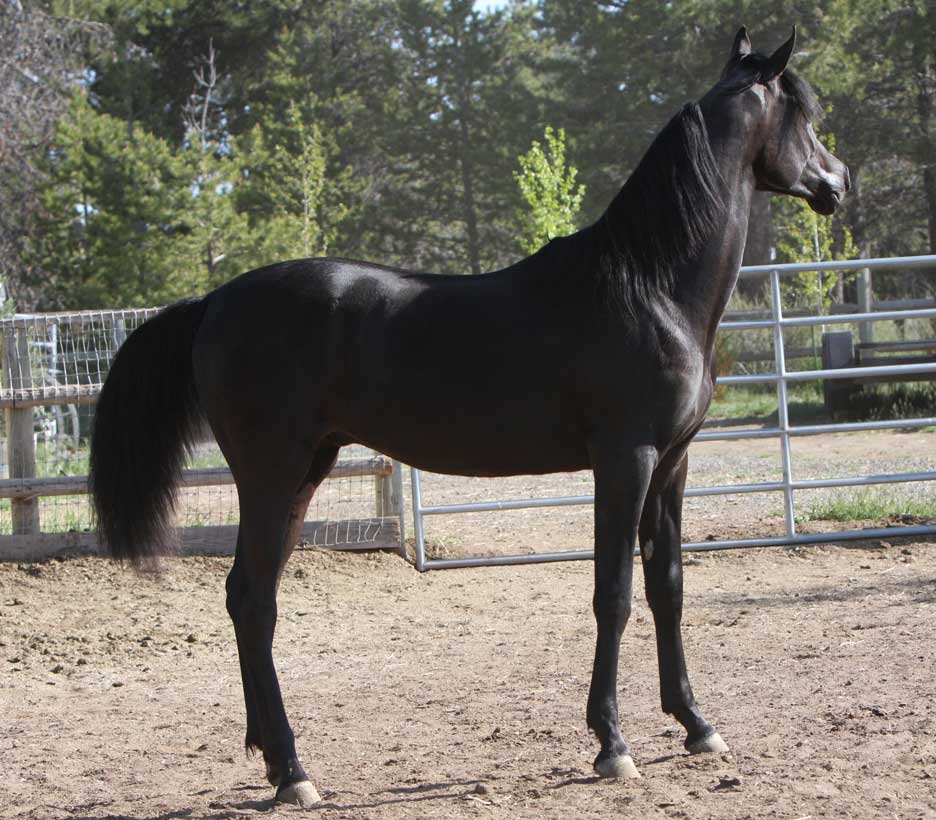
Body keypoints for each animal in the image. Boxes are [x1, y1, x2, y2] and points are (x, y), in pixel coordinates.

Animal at [89, 27, 849, 806]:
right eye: (804, 115)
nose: (838, 181)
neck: (650, 287)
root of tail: (213, 301)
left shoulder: (673, 462)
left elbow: (667, 585)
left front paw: (696, 725)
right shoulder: (624, 459)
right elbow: (613, 593)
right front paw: (611, 744)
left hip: (305, 472)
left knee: (251, 599)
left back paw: (274, 762)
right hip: (272, 475)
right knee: (253, 600)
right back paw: (296, 772)